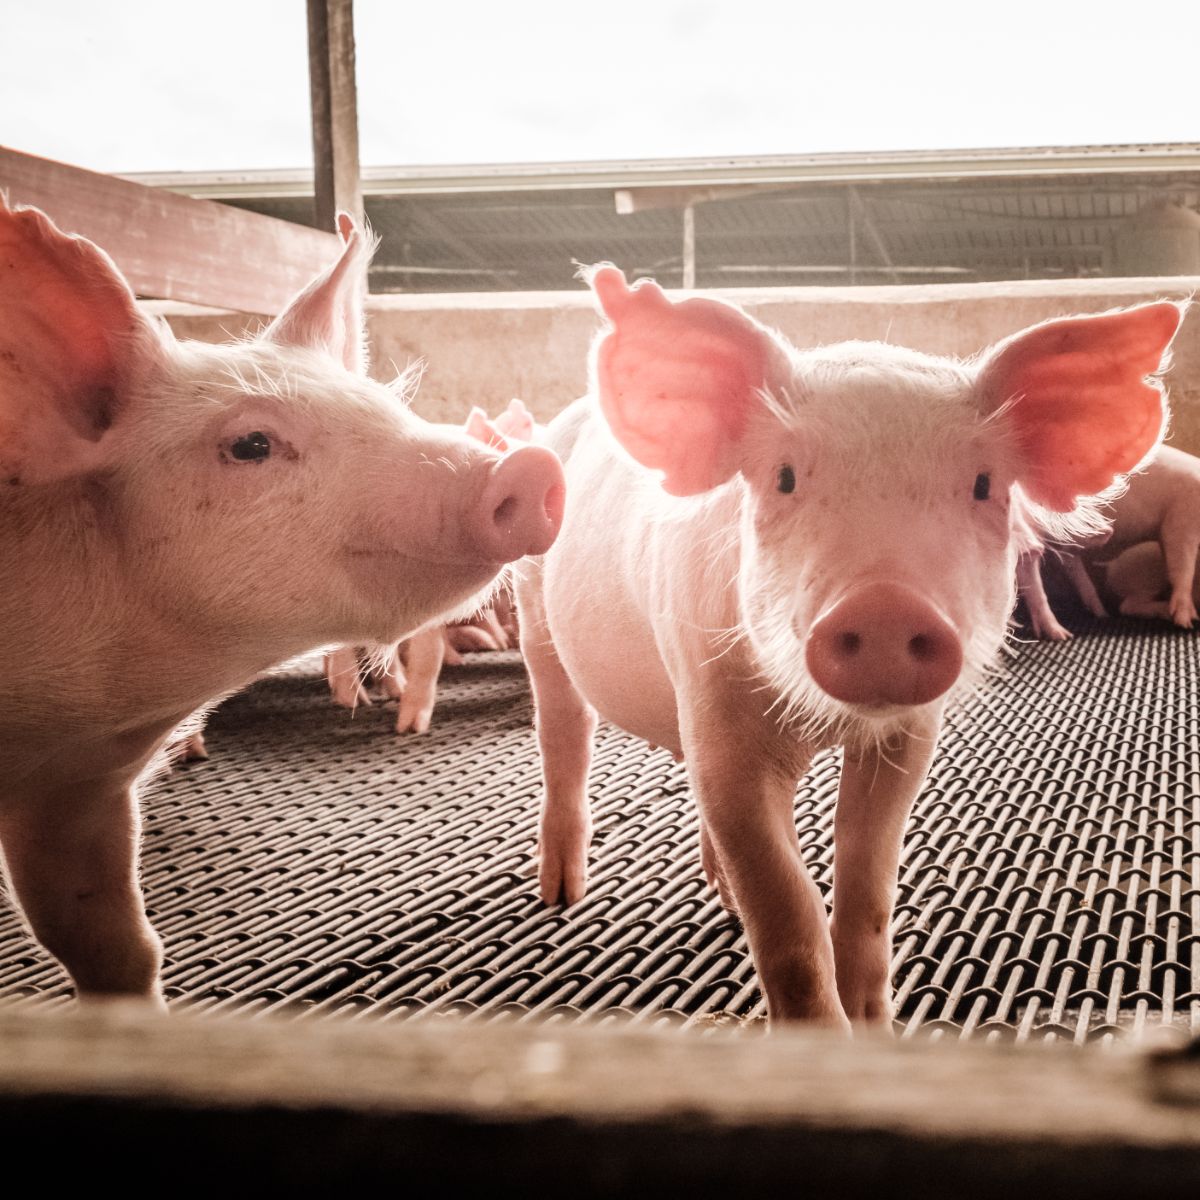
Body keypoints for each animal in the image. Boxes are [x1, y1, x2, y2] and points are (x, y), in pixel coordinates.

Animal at [515, 266, 1183, 1028]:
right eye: (783, 476)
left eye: (983, 485)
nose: (885, 605)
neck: (825, 725)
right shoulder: (717, 711)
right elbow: (787, 911)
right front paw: (822, 1036)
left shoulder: (907, 736)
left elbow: (867, 882)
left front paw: (873, 1024)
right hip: (535, 611)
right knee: (564, 732)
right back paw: (561, 893)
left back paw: (719, 900)